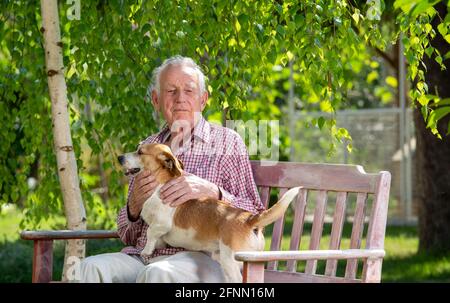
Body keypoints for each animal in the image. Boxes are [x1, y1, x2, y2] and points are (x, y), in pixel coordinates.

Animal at [118, 144, 300, 284]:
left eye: (140, 151)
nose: (119, 157)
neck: (159, 184)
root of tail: (248, 219)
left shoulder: (161, 223)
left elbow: (150, 233)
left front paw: (146, 251)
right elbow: (155, 239)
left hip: (230, 261)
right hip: (222, 258)